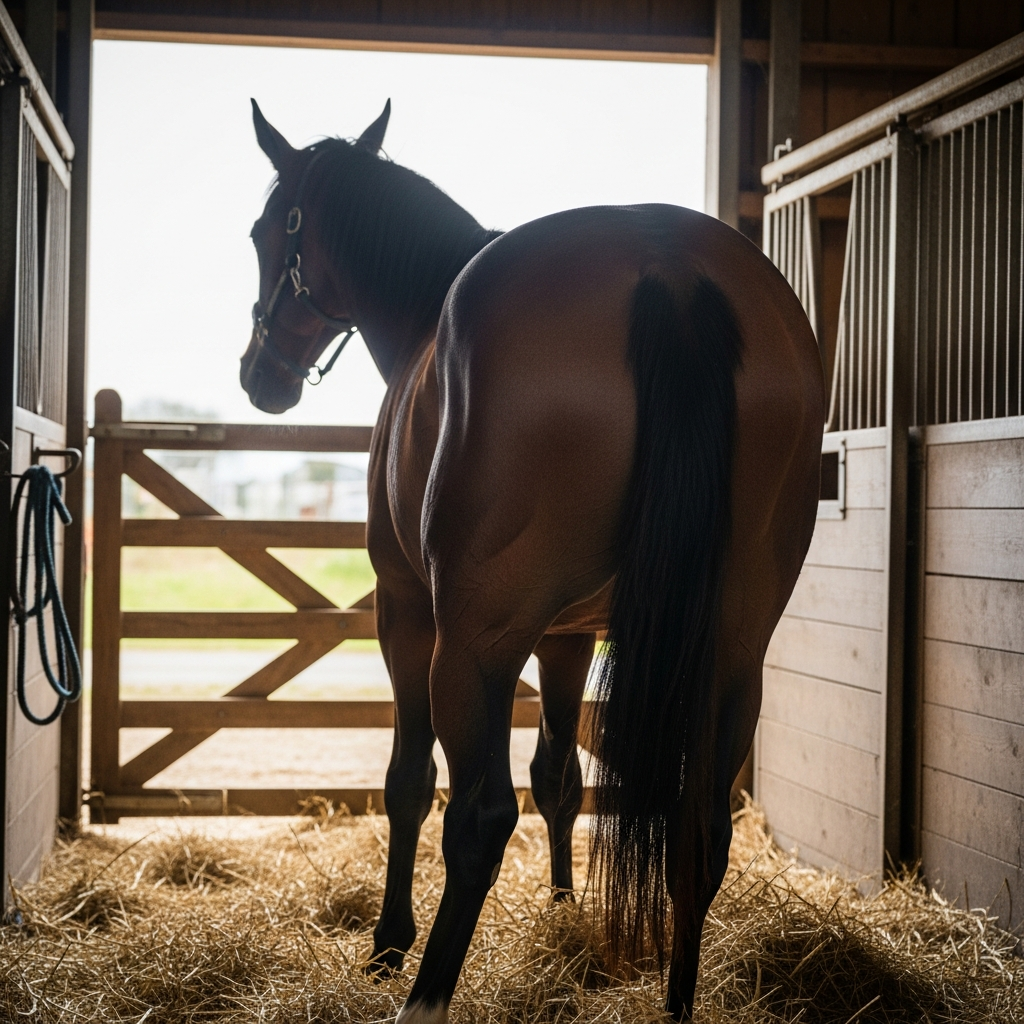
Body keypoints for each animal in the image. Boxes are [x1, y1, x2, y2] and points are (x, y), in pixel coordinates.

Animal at [239, 99, 824, 1022]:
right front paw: (562, 911)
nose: (260, 374)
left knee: (479, 816)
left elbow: (410, 780)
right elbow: (559, 777)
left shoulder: (407, 611)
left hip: (474, 642)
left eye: (266, 233)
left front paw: (388, 944)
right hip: (732, 647)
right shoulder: (570, 633)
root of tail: (670, 273)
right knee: (700, 826)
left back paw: (427, 994)